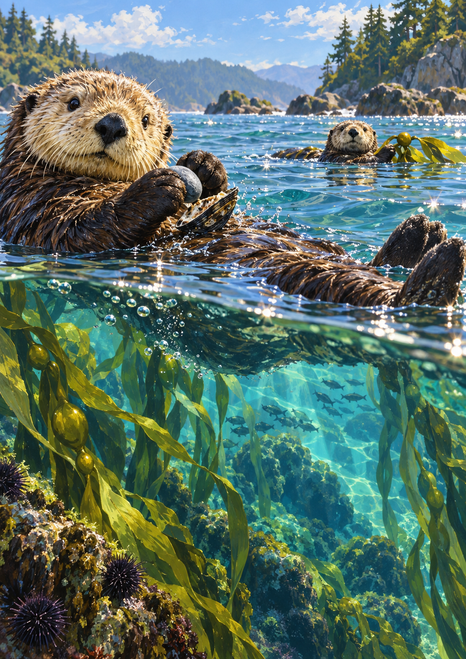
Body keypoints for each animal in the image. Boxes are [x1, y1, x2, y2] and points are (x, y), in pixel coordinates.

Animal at [0, 70, 463, 309]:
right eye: (73, 102)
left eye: (146, 120)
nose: (113, 122)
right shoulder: (28, 206)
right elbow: (77, 228)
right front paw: (163, 183)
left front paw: (204, 165)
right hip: (297, 275)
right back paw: (435, 260)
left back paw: (423, 234)